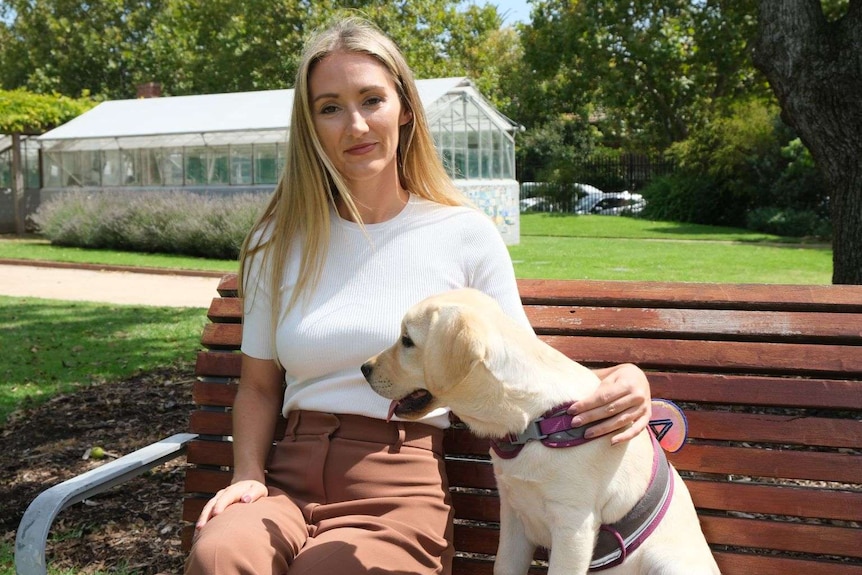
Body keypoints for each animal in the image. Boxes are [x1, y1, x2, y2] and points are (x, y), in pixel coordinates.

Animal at [362, 290, 720, 575]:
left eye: (407, 340)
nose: (364, 368)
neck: (533, 425)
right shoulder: (513, 515)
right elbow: (503, 566)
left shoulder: (573, 527)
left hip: (670, 564)